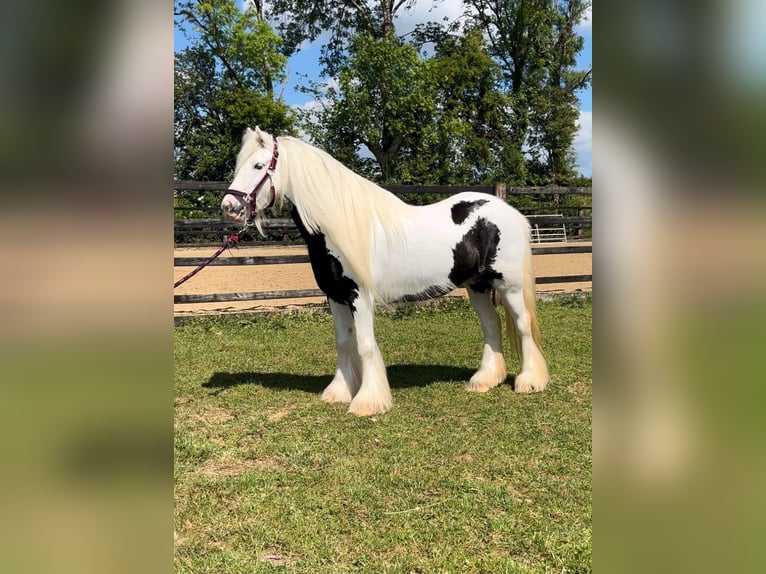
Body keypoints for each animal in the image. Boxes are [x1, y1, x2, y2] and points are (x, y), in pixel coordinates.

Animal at [221, 127, 549, 416]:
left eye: (258, 165)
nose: (229, 206)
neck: (339, 226)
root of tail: (509, 212)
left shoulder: (359, 297)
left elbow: (365, 346)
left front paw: (368, 402)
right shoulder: (335, 297)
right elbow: (343, 343)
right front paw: (339, 392)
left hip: (510, 286)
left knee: (522, 324)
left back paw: (530, 381)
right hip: (477, 285)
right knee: (491, 325)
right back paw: (485, 380)